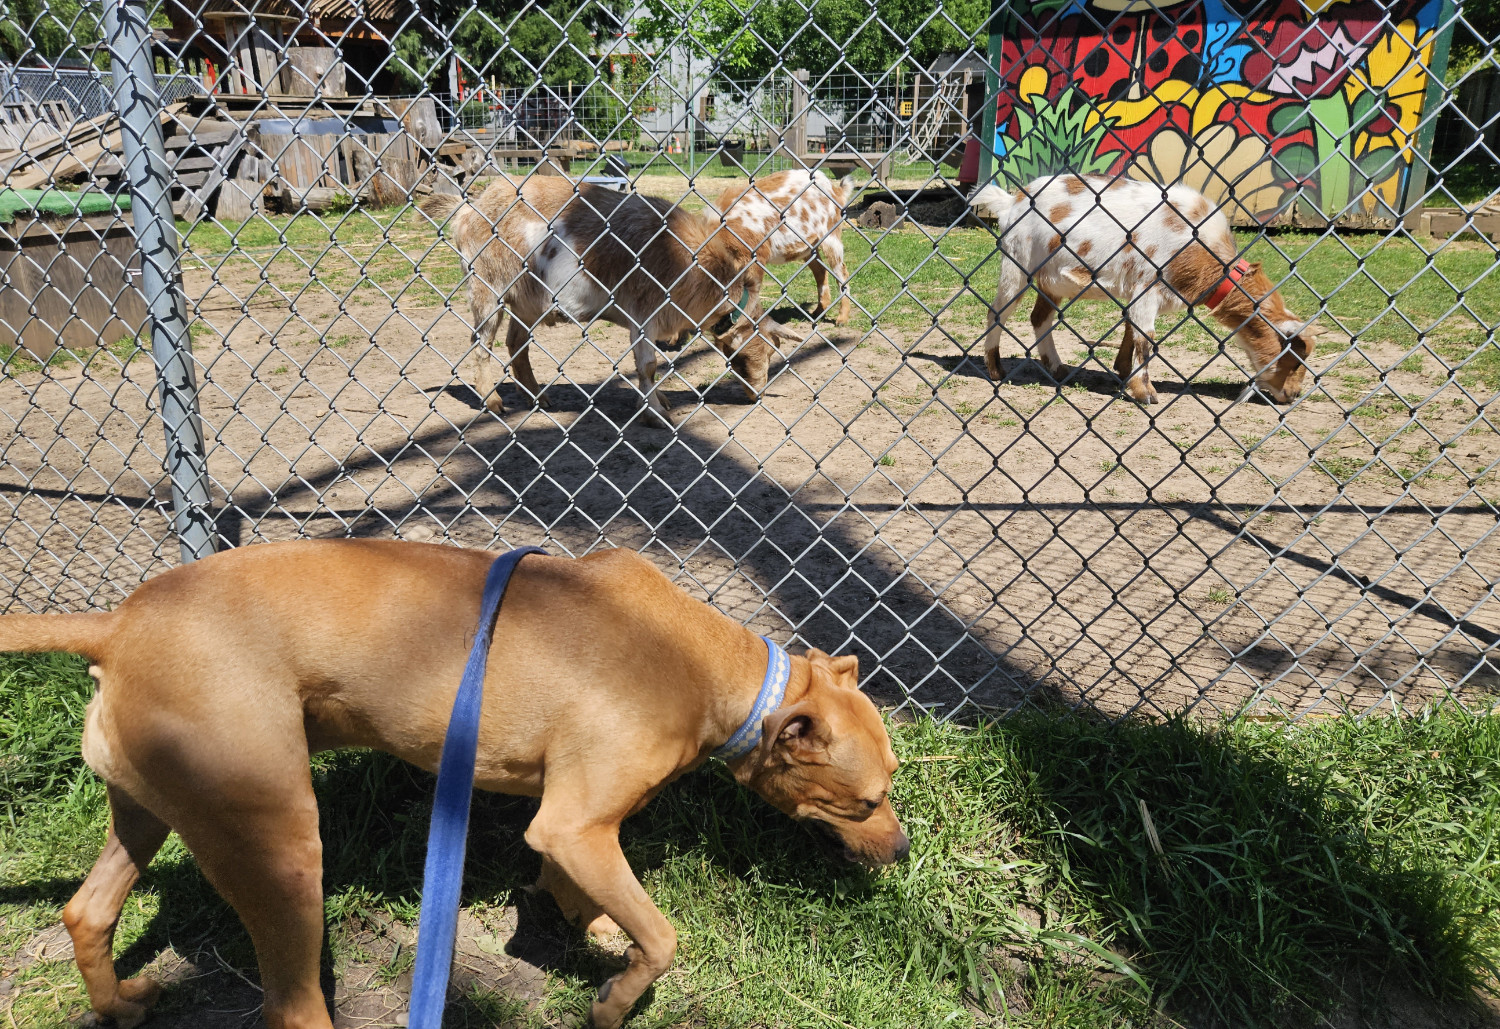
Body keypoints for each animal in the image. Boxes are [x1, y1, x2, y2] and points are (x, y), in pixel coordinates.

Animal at [0, 540, 900, 1029]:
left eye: (890, 786)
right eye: (867, 801)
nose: (899, 850)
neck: (708, 666)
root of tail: (116, 622)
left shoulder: (573, 830)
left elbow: (585, 895)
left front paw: (588, 926)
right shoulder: (573, 823)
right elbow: (661, 935)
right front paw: (613, 997)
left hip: (148, 808)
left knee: (86, 911)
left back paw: (118, 1002)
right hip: (279, 844)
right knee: (291, 1003)